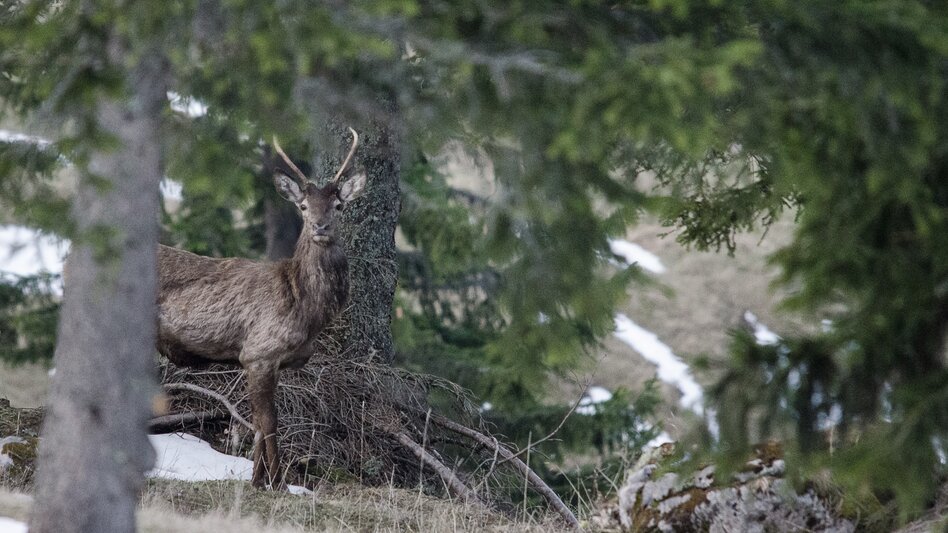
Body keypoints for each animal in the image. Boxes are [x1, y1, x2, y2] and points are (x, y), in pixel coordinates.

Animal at [155, 128, 365, 488]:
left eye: (338, 205)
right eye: (303, 206)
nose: (321, 226)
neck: (306, 309)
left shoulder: (272, 362)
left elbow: (256, 422)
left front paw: (256, 480)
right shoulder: (258, 352)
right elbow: (268, 422)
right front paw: (276, 482)